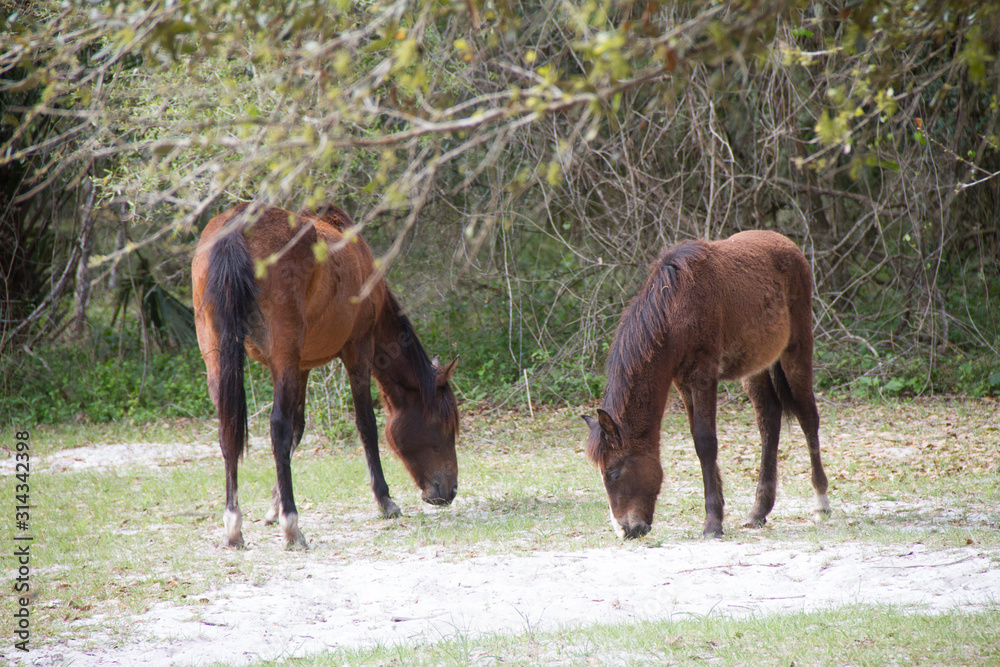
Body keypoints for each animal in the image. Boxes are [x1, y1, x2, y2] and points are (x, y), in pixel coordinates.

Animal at [192, 202, 460, 549]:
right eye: (444, 424)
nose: (451, 490)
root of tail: (237, 225)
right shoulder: (359, 350)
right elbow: (365, 426)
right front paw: (384, 500)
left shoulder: (301, 366)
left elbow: (298, 429)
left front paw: (272, 508)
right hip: (282, 355)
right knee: (277, 428)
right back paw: (292, 526)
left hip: (219, 359)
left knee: (229, 431)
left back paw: (233, 524)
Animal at [582, 230, 831, 540]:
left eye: (614, 472)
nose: (626, 530)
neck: (674, 309)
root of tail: (788, 244)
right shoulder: (682, 382)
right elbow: (698, 439)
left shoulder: (703, 376)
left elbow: (705, 442)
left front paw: (712, 523)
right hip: (755, 365)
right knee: (769, 417)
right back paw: (758, 511)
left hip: (796, 351)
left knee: (808, 417)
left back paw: (821, 503)